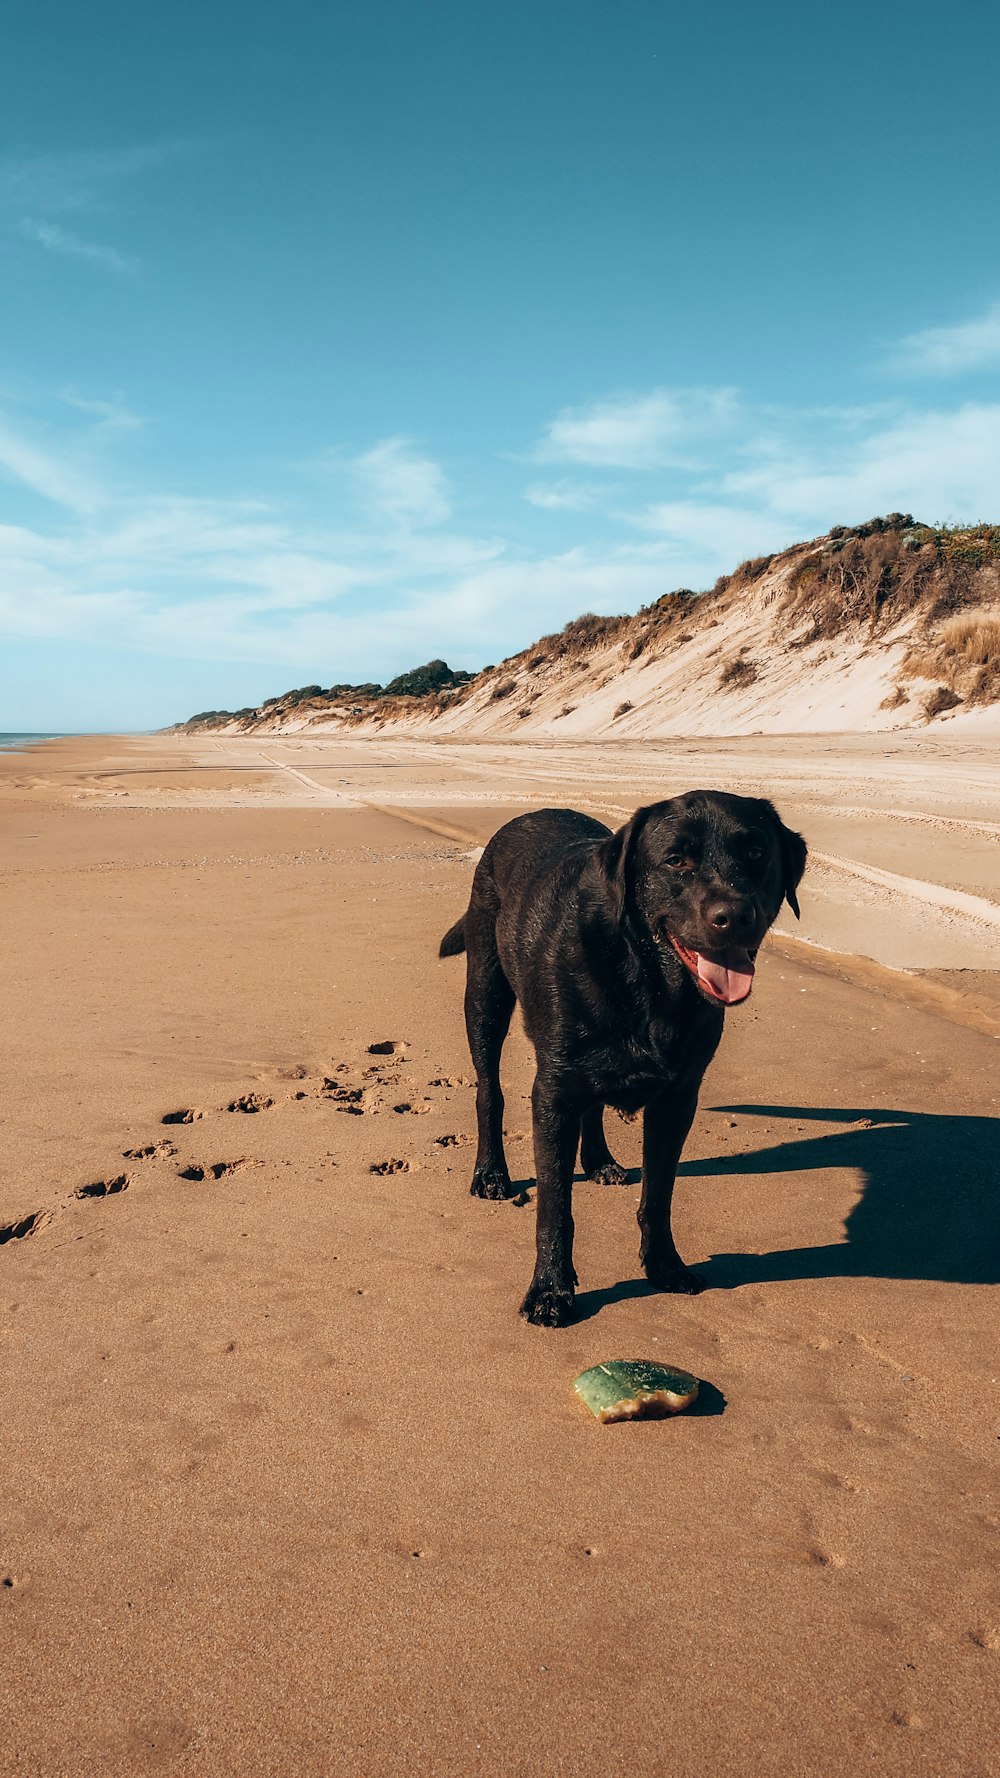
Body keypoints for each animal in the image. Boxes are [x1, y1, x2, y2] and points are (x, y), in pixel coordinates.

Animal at [439, 789, 804, 1322]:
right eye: (676, 860)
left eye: (757, 853)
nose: (734, 916)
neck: (646, 979)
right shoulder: (552, 1094)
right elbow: (555, 1206)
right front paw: (550, 1290)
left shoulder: (677, 1101)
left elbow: (660, 1193)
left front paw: (665, 1266)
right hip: (485, 992)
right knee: (490, 1089)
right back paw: (490, 1173)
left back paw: (599, 1160)